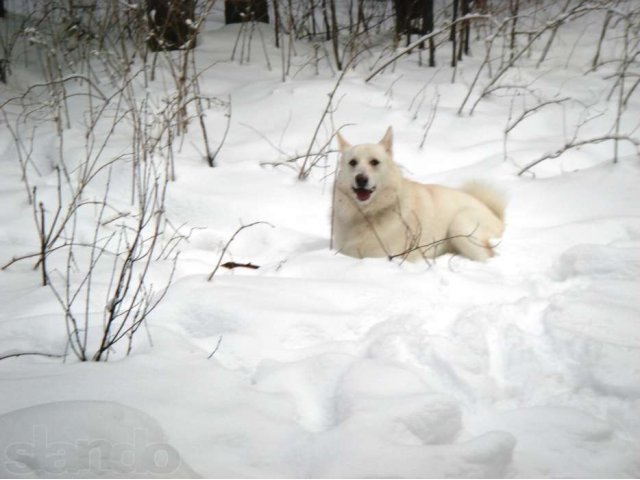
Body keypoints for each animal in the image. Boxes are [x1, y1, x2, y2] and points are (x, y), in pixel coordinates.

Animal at [330, 127, 504, 262]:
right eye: (353, 162)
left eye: (374, 162)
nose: (361, 179)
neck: (368, 214)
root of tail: (498, 217)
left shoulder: (382, 256)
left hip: (460, 225)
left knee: (487, 256)